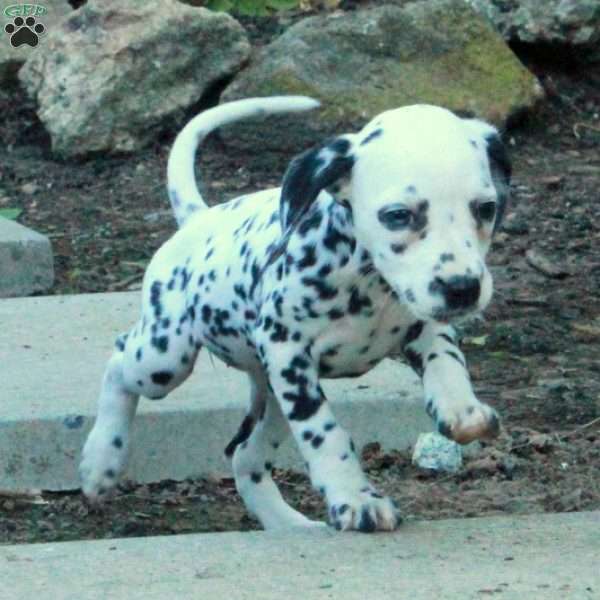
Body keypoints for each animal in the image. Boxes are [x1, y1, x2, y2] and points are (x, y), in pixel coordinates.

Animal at [79, 96, 510, 532]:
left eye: (486, 208)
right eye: (398, 215)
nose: (462, 288)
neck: (369, 281)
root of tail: (199, 219)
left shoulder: (425, 323)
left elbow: (446, 362)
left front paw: (461, 410)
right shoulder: (287, 350)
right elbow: (324, 432)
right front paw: (356, 499)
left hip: (271, 400)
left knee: (244, 457)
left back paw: (289, 524)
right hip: (165, 358)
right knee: (119, 362)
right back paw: (102, 460)